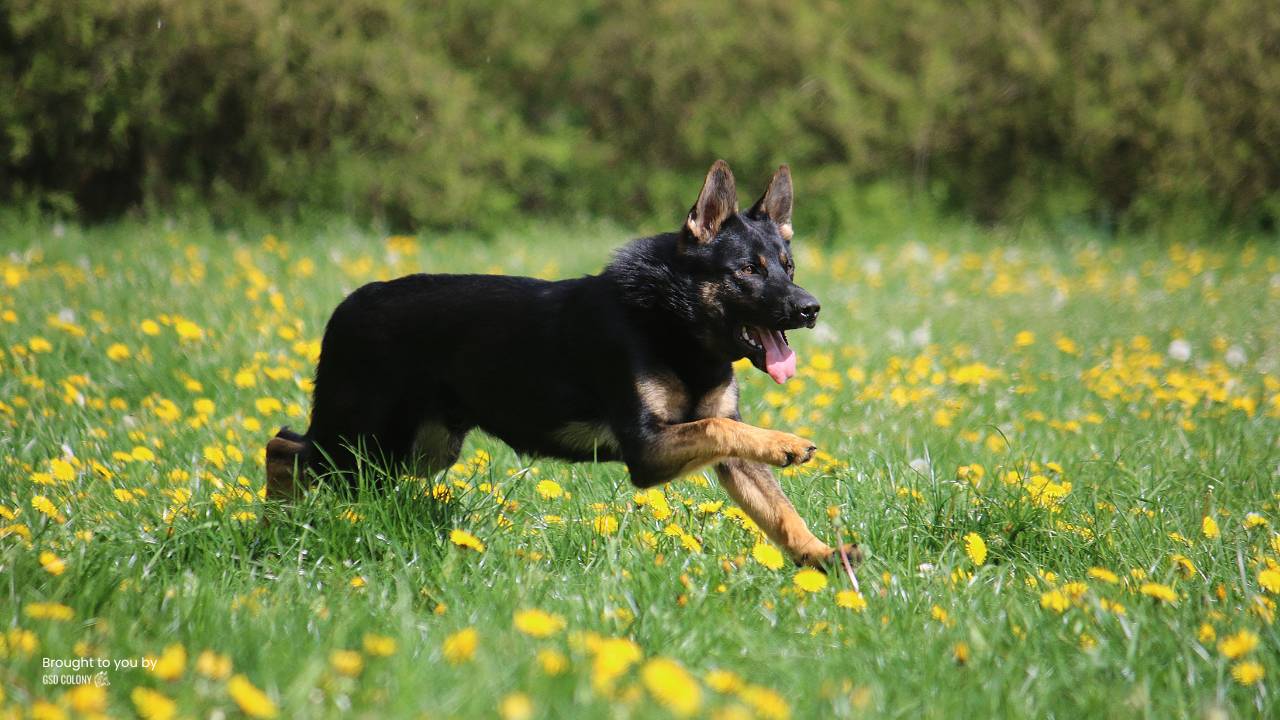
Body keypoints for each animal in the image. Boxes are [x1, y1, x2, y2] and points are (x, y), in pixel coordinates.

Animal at [264, 161, 855, 566]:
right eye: (748, 271)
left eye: (787, 266)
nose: (810, 309)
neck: (675, 323)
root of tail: (347, 304)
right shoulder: (648, 450)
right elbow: (719, 428)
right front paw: (785, 442)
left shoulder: (725, 451)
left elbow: (776, 505)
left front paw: (819, 555)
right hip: (360, 445)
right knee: (282, 445)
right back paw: (276, 524)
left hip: (411, 453)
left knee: (294, 448)